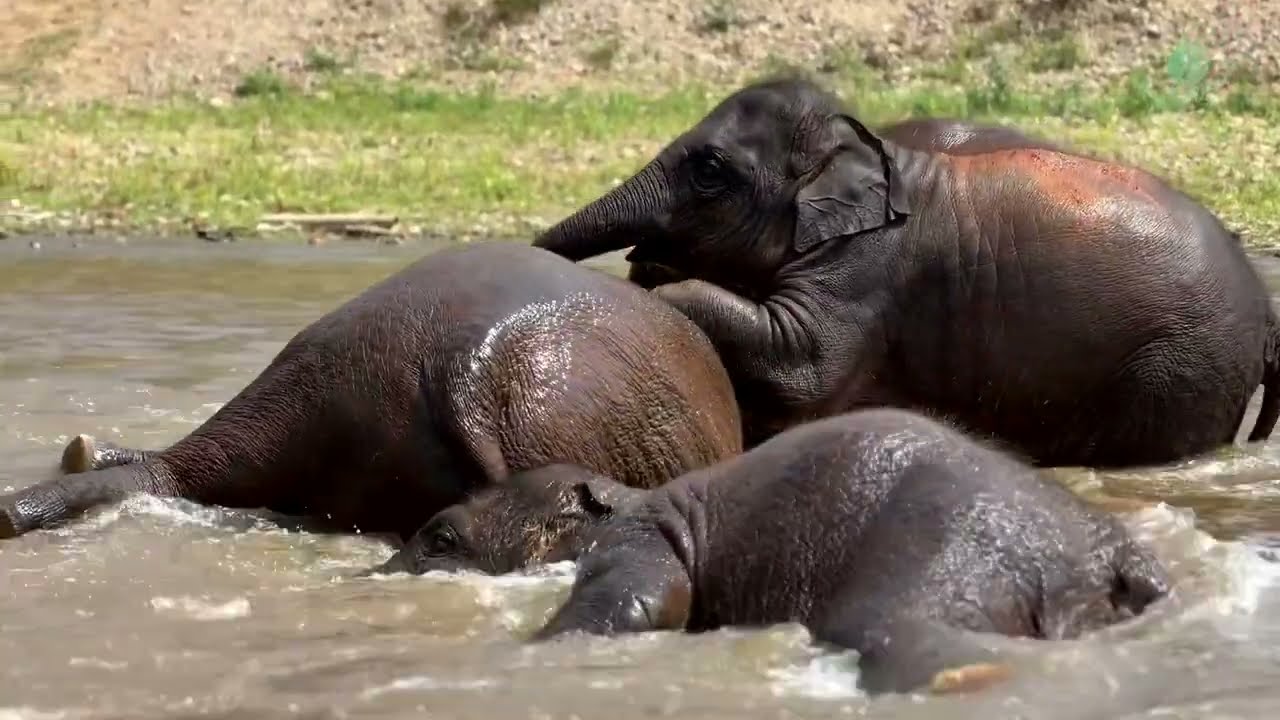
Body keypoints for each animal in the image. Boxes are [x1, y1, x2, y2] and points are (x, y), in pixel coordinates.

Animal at [534, 76, 1280, 468]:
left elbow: (804, 366)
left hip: (1179, 365)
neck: (866, 147)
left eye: (710, 171)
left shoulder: (867, 269)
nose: (640, 251)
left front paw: (660, 280)